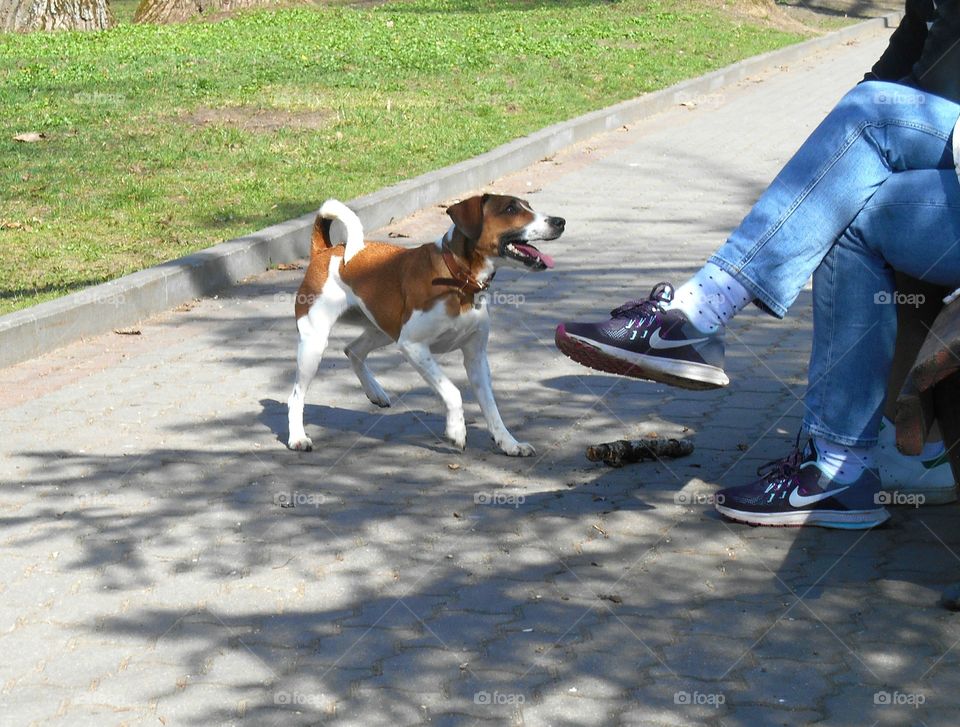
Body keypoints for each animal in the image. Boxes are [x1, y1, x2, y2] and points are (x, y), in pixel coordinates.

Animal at [288, 193, 568, 456]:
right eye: (510, 209)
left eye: (528, 206)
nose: (560, 221)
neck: (457, 278)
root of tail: (326, 251)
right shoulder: (413, 346)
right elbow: (452, 391)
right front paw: (456, 430)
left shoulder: (476, 357)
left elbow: (491, 407)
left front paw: (509, 443)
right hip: (315, 343)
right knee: (296, 396)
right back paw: (298, 437)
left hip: (385, 329)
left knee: (353, 350)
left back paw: (375, 391)